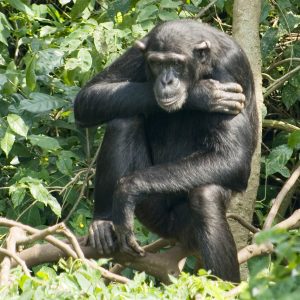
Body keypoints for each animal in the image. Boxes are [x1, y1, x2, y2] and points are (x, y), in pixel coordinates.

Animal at [74, 19, 258, 282]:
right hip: (153, 214)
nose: (166, 81)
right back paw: (103, 222)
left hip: (184, 226)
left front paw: (128, 189)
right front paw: (201, 94)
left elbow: (233, 156)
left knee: (206, 198)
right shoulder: (141, 50)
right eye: (157, 64)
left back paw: (225, 285)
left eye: (176, 64)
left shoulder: (231, 68)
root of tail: (173, 234)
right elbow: (89, 95)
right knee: (123, 121)